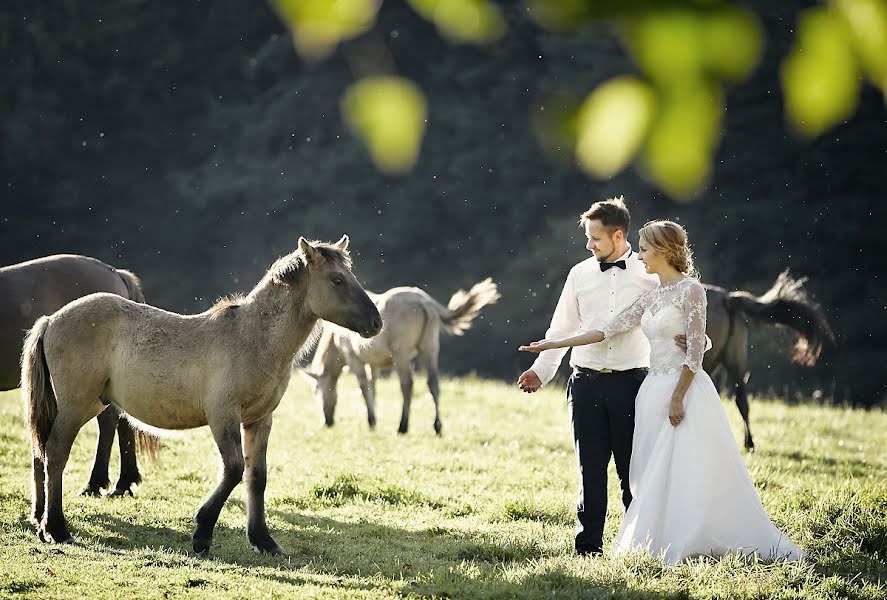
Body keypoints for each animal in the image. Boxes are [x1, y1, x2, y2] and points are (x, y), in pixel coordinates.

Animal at [21, 237, 382, 556]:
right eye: (337, 279)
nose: (376, 323)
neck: (252, 338)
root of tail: (51, 320)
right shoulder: (223, 415)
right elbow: (234, 470)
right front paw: (202, 534)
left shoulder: (260, 420)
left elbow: (257, 476)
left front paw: (264, 541)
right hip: (76, 406)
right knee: (55, 452)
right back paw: (57, 529)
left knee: (41, 453)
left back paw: (40, 523)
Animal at [304, 276, 500, 436]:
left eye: (316, 390)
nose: (327, 421)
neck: (335, 337)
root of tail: (426, 303)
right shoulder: (374, 363)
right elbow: (373, 387)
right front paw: (374, 420)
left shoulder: (354, 358)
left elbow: (364, 386)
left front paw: (371, 421)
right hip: (429, 347)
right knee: (433, 383)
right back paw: (437, 426)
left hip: (402, 353)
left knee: (407, 384)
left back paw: (403, 426)